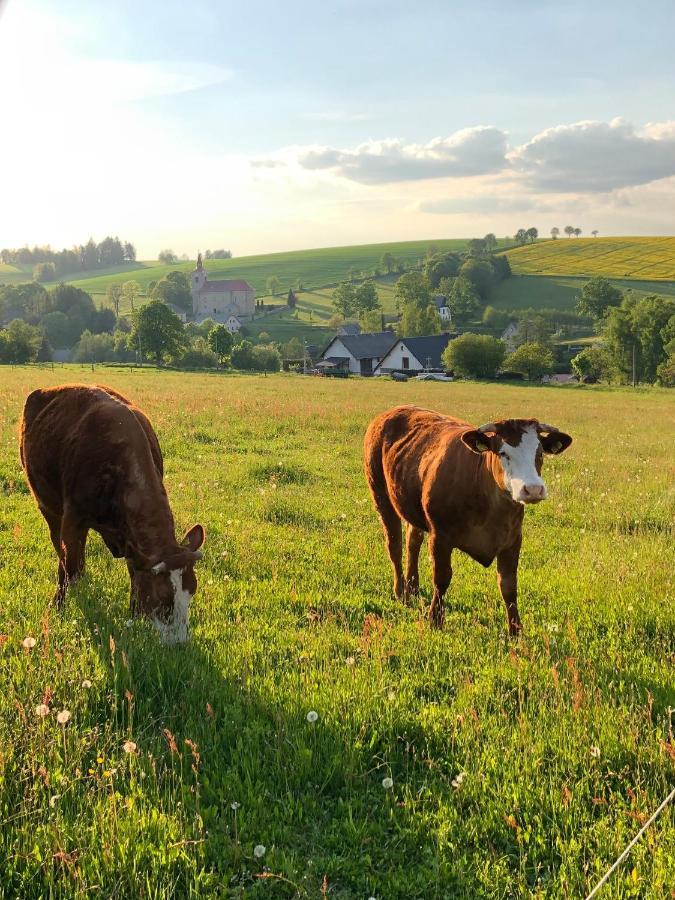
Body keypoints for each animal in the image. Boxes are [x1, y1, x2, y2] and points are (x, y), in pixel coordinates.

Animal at [21, 384, 206, 644]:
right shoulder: (73, 518)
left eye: (191, 593)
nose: (179, 644)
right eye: (164, 601)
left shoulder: (132, 543)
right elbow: (68, 565)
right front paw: (59, 606)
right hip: (46, 504)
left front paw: (134, 614)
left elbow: (134, 573)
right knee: (59, 544)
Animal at [368, 404, 572, 636]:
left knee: (413, 541)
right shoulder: (440, 536)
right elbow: (442, 578)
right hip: (380, 493)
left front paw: (515, 631)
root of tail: (393, 411)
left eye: (539, 453)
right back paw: (401, 590)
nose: (533, 489)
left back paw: (413, 587)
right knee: (394, 544)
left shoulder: (512, 541)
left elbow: (509, 586)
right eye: (503, 453)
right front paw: (435, 619)